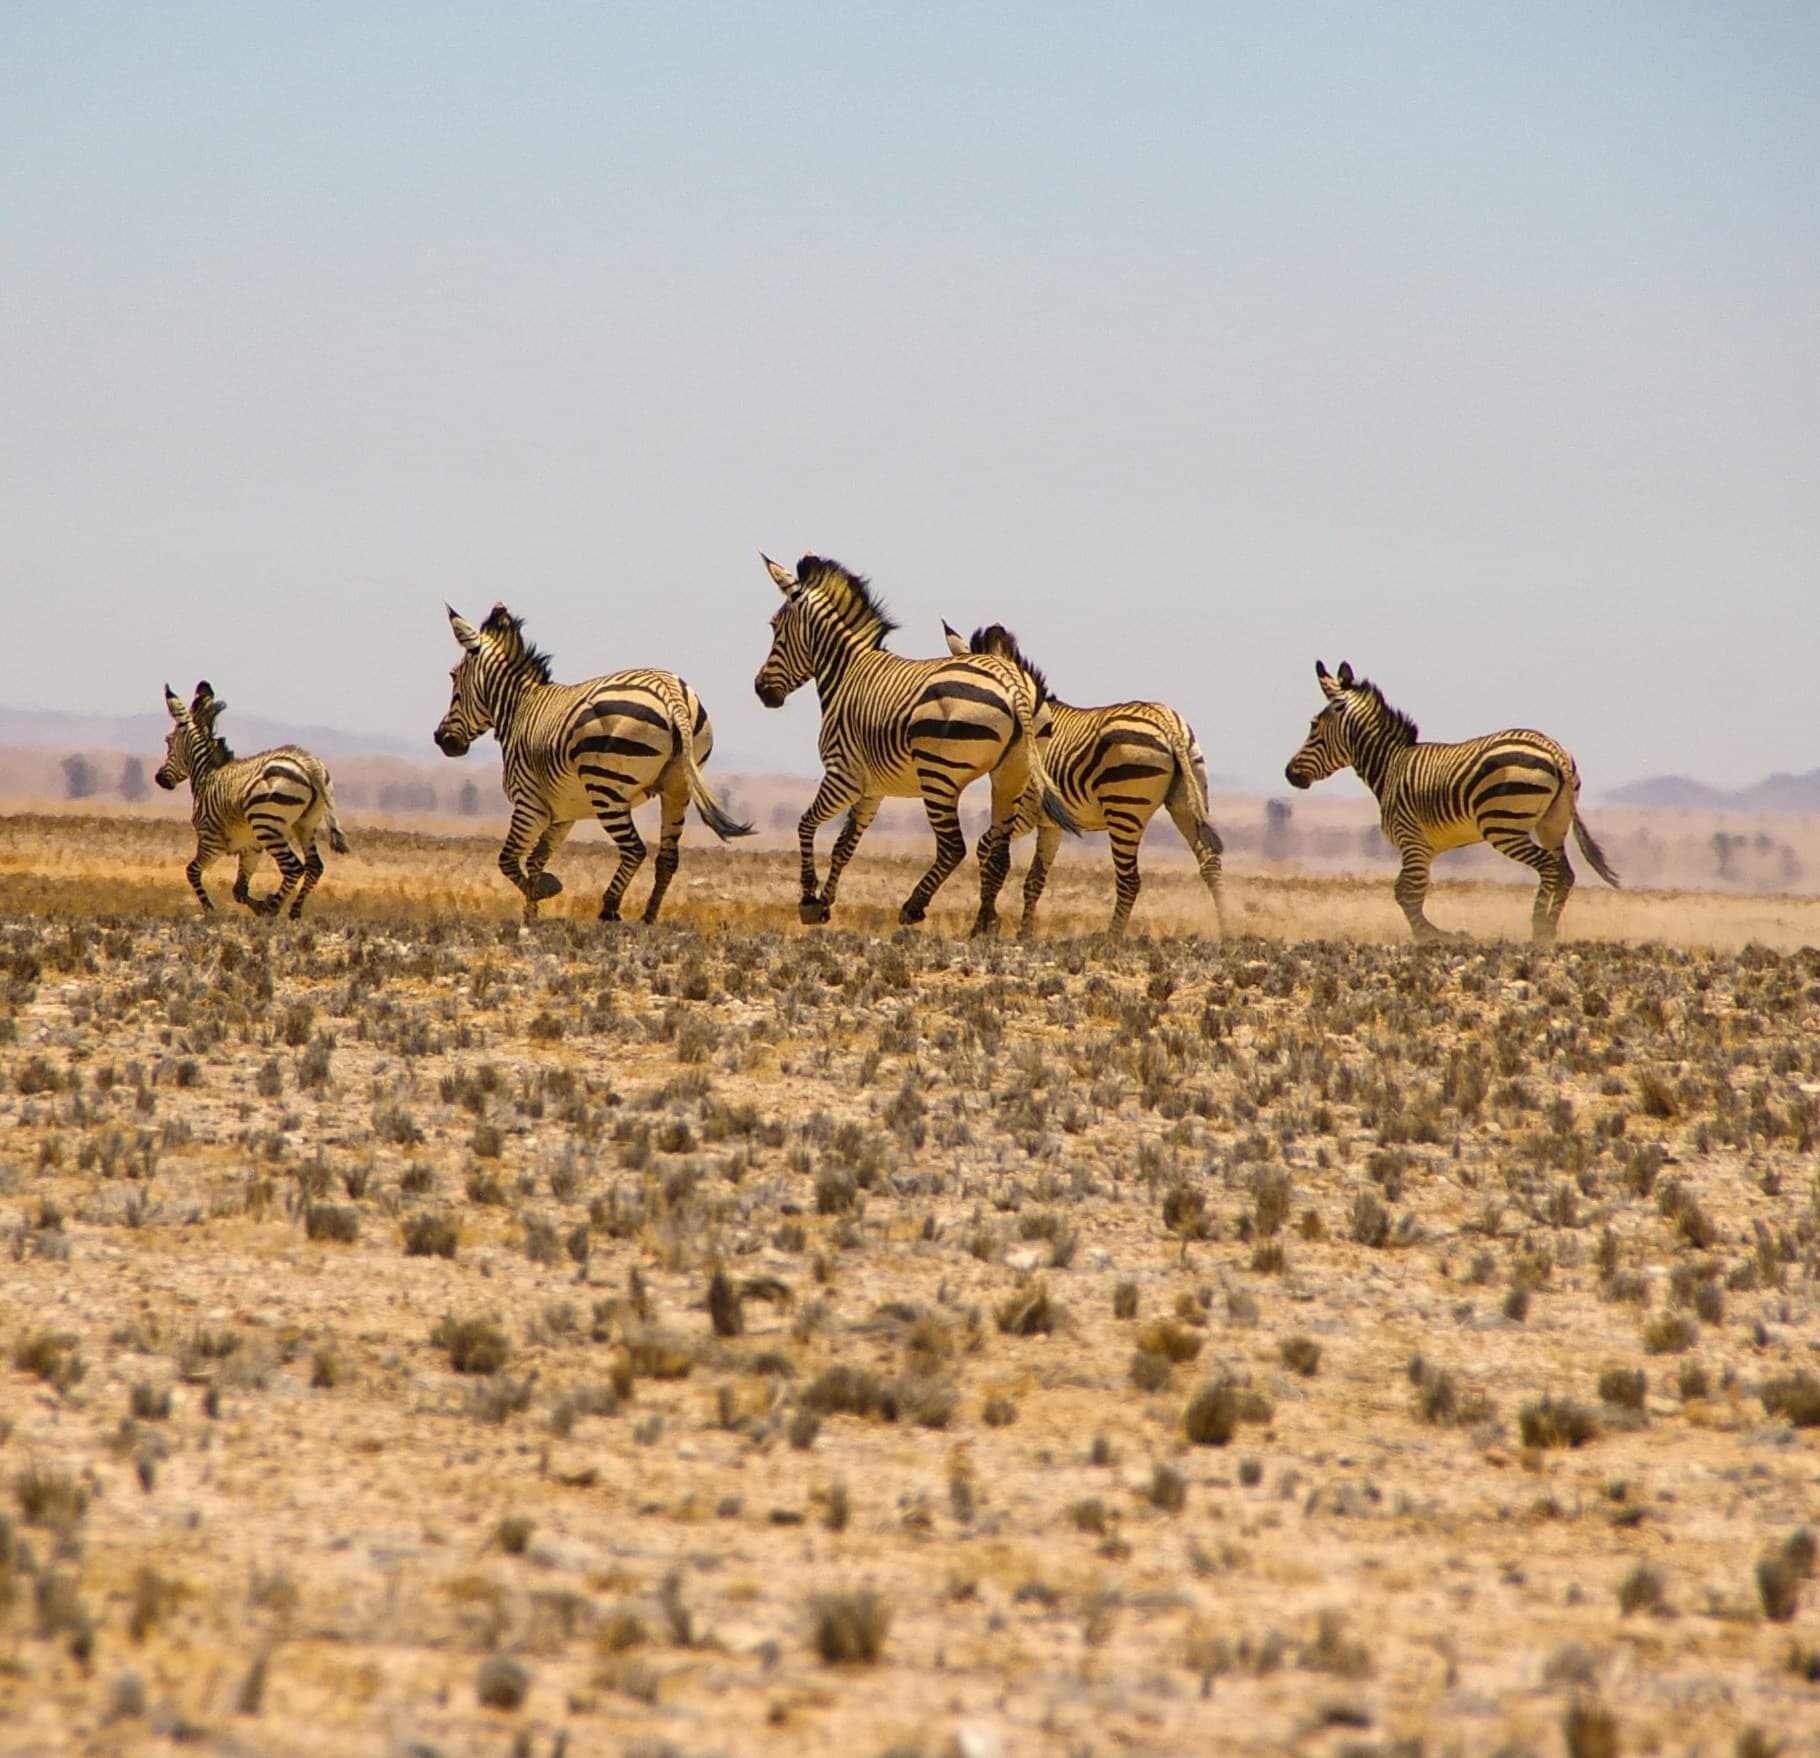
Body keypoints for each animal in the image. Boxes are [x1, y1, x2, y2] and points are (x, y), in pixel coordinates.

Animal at [154, 680, 349, 920]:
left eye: (168, 741)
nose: (159, 779)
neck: (207, 775)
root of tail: (308, 762)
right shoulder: (250, 847)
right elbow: (238, 890)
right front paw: (259, 905)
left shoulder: (211, 840)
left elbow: (192, 871)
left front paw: (211, 910)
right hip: (306, 823)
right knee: (314, 867)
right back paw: (293, 911)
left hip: (266, 824)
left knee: (294, 867)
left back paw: (274, 907)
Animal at [436, 600, 749, 920]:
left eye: (453, 676)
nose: (441, 738)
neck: (520, 708)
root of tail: (668, 690)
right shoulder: (563, 811)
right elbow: (536, 860)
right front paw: (531, 913)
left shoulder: (529, 803)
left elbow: (508, 860)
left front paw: (544, 892)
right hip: (678, 788)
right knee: (667, 857)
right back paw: (648, 917)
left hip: (606, 788)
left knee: (634, 849)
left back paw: (609, 910)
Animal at [746, 553, 1070, 939]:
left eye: (775, 627)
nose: (761, 690)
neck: (847, 673)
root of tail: (1013, 682)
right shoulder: (873, 788)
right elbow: (844, 845)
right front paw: (825, 903)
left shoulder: (843, 775)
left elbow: (806, 824)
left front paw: (809, 900)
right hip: (1011, 776)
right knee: (998, 852)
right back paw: (983, 924)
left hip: (939, 775)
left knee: (953, 847)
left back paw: (915, 906)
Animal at [946, 622, 1230, 946]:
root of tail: (1166, 722)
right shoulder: (1051, 824)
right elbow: (1034, 879)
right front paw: (1024, 934)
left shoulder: (1023, 810)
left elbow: (986, 847)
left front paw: (986, 923)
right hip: (1187, 800)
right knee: (1210, 863)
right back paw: (1227, 932)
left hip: (1124, 810)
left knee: (1130, 880)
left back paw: (1111, 939)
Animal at [1281, 662, 1623, 946]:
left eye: (1313, 726)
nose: (1289, 773)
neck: (1391, 765)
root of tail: (1553, 750)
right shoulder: (1426, 847)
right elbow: (1406, 891)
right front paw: (1438, 935)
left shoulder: (1412, 841)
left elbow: (1408, 894)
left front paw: (1433, 937)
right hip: (1553, 823)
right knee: (1565, 872)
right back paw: (1549, 931)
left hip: (1503, 826)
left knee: (1549, 868)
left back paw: (1538, 931)